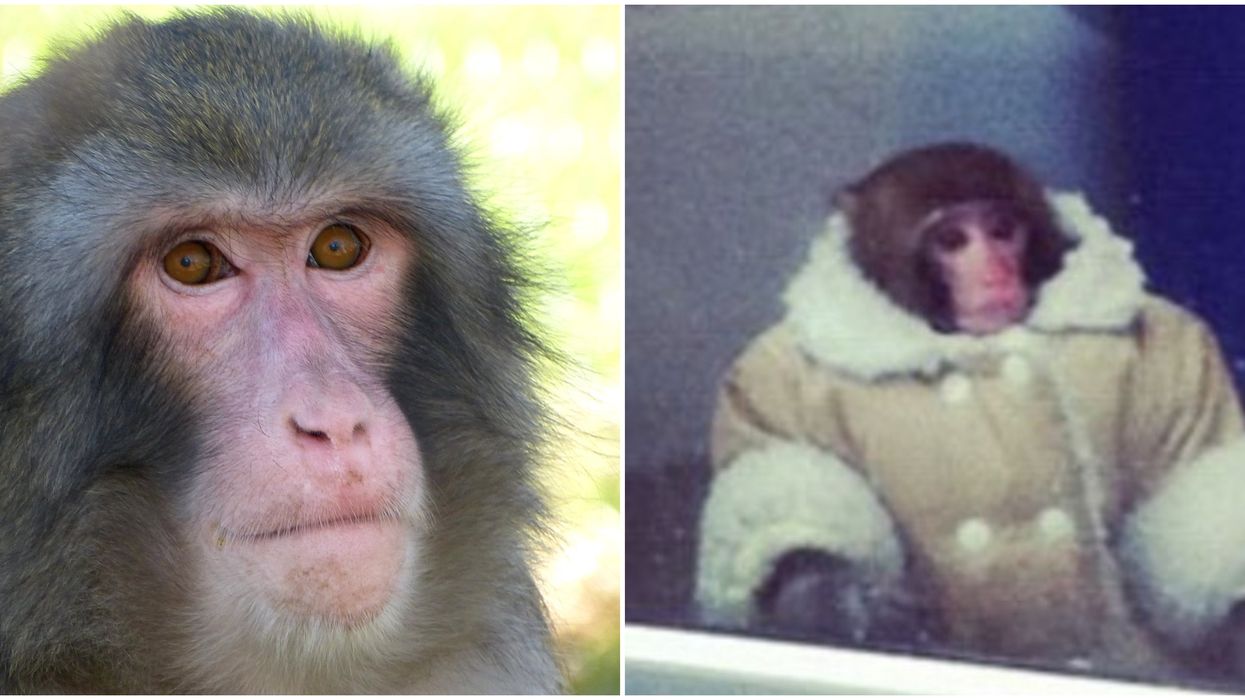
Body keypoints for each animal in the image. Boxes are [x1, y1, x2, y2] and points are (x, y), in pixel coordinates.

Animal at [697, 142, 1245, 683]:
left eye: (1002, 231)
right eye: (953, 240)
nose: (995, 271)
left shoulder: (1183, 352)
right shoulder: (766, 376)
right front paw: (817, 587)